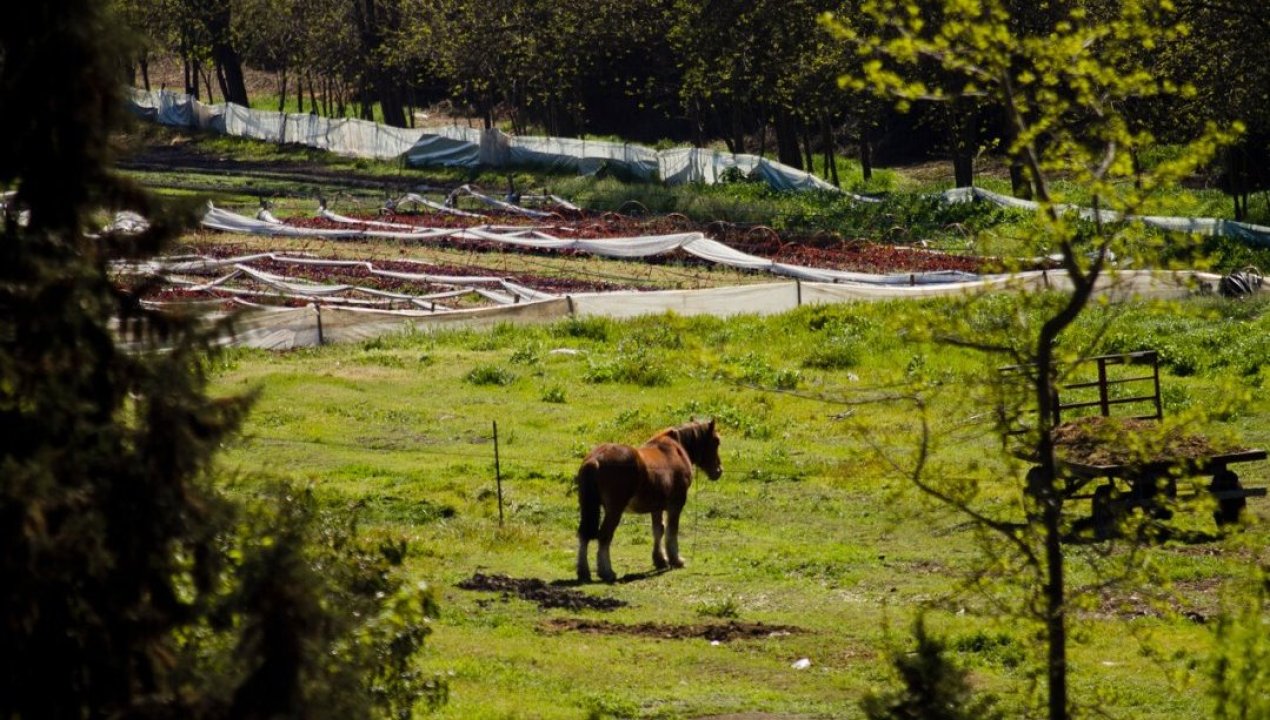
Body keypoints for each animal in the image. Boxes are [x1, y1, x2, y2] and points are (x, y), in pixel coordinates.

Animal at [579, 419, 726, 584]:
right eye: (716, 441)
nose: (719, 471)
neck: (677, 449)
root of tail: (595, 459)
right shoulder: (676, 504)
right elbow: (671, 531)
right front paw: (676, 560)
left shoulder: (656, 507)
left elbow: (658, 530)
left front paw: (660, 560)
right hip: (614, 510)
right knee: (604, 536)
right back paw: (607, 572)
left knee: (584, 535)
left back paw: (583, 572)